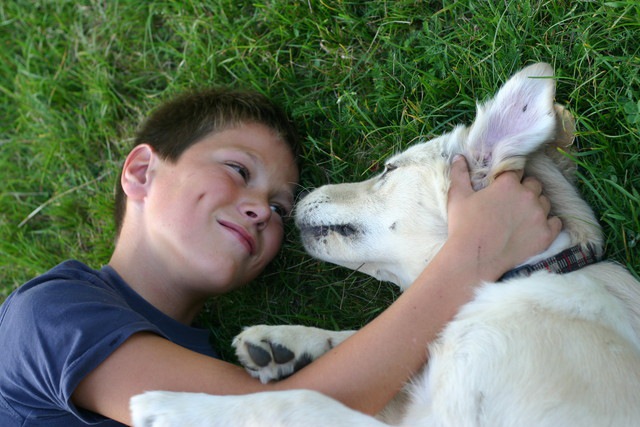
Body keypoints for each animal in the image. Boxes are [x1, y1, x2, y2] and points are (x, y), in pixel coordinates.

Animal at [130, 61, 640, 426]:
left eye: (389, 170)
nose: (293, 198)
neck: (531, 270)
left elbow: (297, 401)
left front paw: (172, 407)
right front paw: (285, 343)